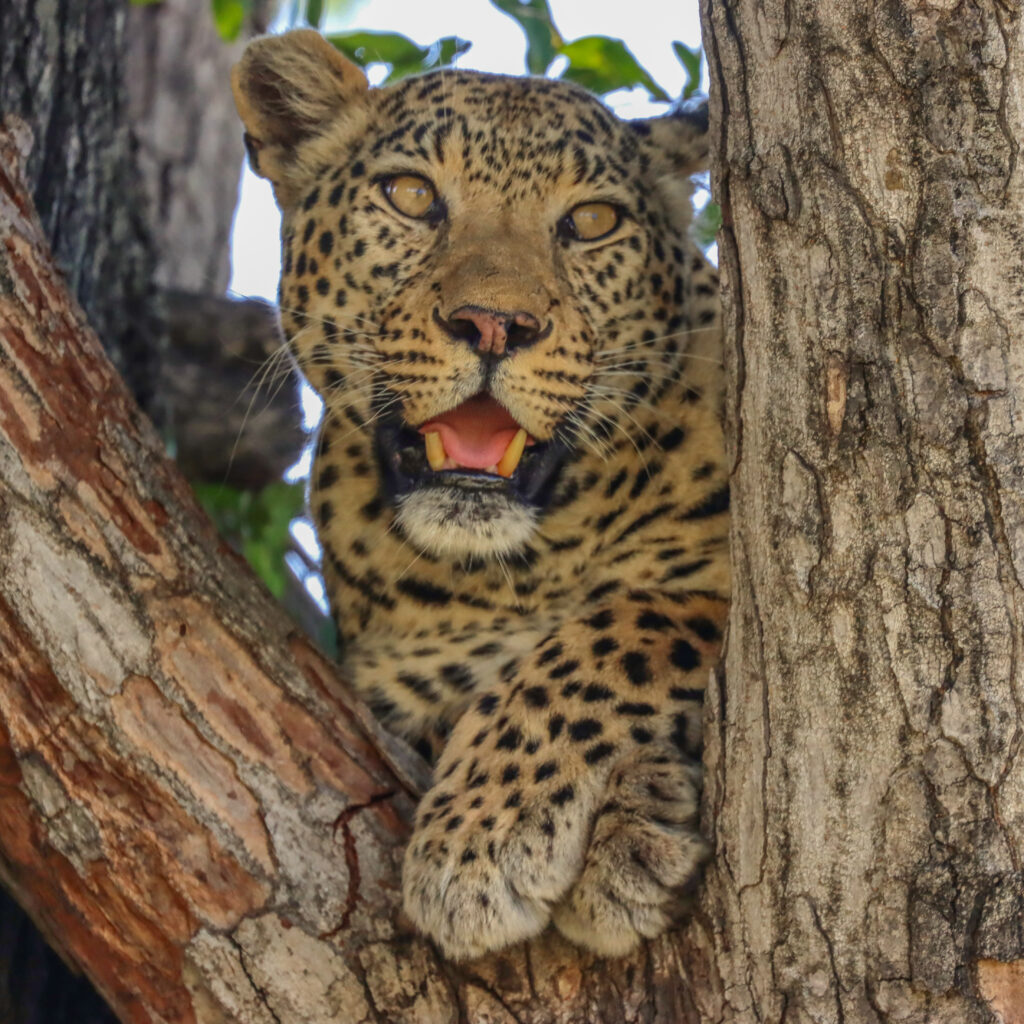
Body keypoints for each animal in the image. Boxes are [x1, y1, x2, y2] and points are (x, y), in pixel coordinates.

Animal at [232, 28, 729, 962]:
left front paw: (484, 836)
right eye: (412, 196)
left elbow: (619, 630)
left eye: (592, 222)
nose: (494, 324)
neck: (509, 570)